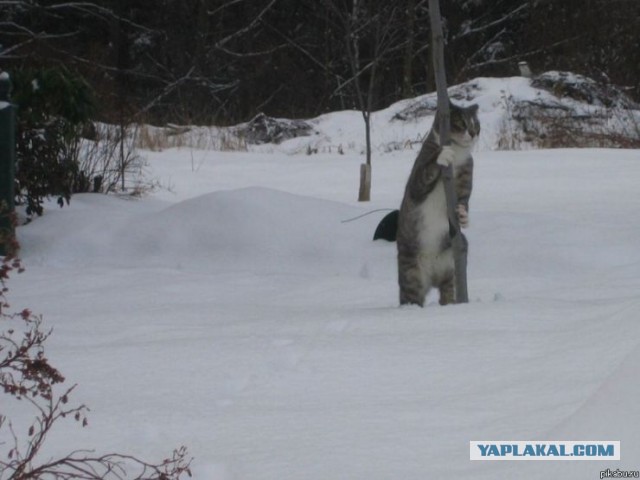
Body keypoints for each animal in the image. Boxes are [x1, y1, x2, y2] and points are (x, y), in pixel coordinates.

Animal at [398, 101, 478, 306]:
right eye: (461, 123)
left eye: (476, 124)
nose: (473, 133)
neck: (458, 155)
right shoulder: (417, 180)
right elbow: (426, 172)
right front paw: (443, 155)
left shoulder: (467, 172)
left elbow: (464, 201)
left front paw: (463, 216)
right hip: (411, 273)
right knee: (411, 297)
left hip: (453, 269)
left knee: (449, 292)